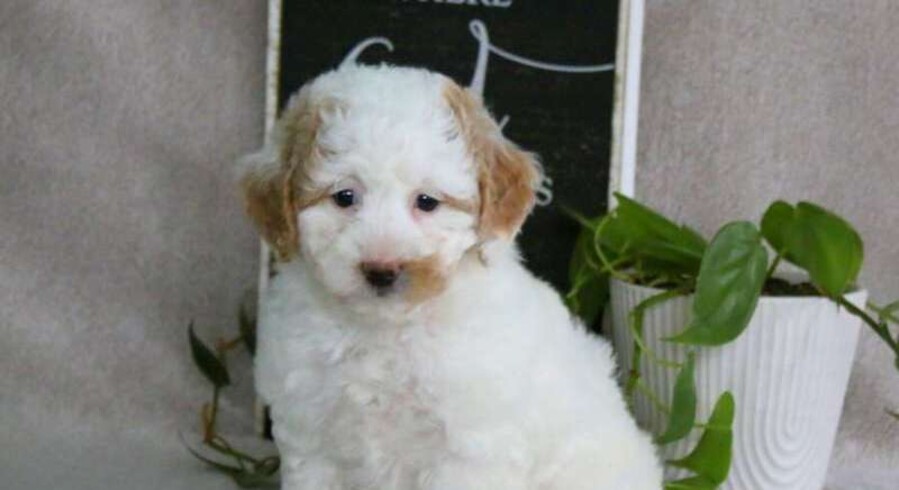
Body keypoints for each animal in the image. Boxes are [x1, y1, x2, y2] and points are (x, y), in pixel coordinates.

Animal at [240, 64, 662, 490]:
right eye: (344, 197)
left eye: (427, 202)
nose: (381, 270)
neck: (385, 330)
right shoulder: (311, 434)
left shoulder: (470, 447)